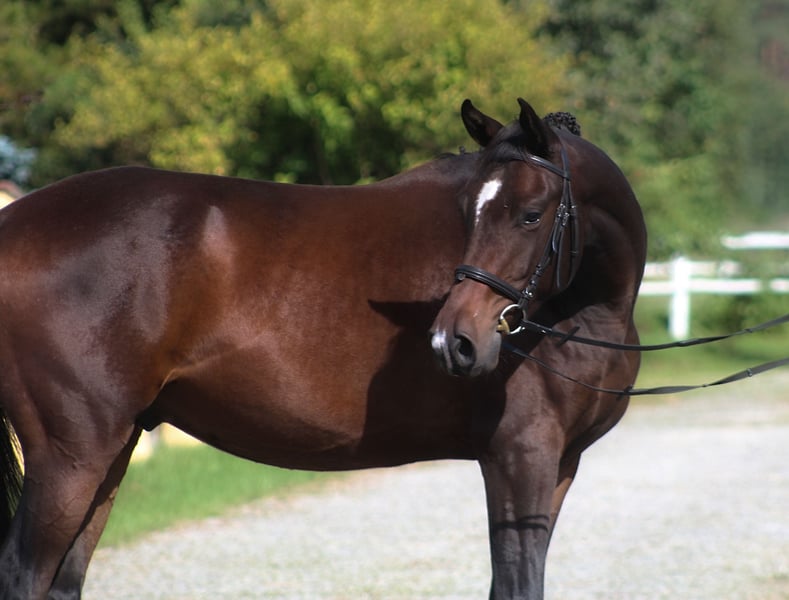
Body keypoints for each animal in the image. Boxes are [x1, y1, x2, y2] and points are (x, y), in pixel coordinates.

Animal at [0, 97, 645, 600]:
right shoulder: (519, 457)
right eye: (469, 212)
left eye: (531, 215)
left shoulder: (559, 464)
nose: (454, 341)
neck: (583, 308)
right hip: (70, 456)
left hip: (111, 451)